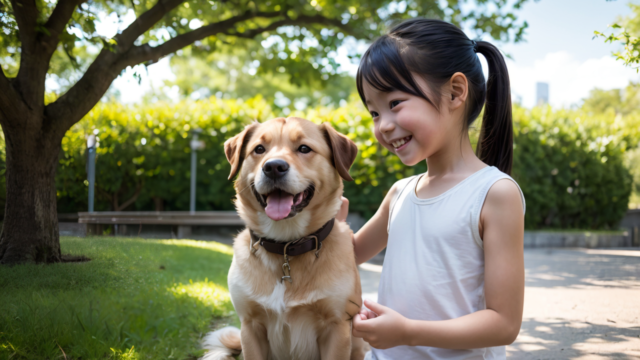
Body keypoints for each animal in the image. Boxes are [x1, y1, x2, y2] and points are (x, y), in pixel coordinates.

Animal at [202, 116, 368, 358]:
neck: (286, 246)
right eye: (259, 149)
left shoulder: (337, 328)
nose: (273, 167)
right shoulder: (250, 327)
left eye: (304, 148)